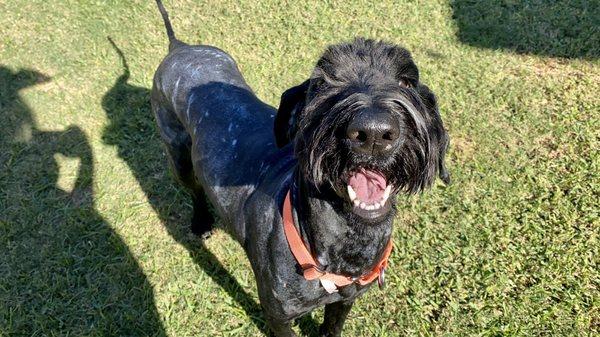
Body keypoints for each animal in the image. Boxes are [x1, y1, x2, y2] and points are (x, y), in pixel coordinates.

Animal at [151, 1, 450, 334]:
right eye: (323, 84)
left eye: (406, 81)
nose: (373, 132)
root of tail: (180, 47)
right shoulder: (278, 316)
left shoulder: (346, 300)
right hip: (178, 156)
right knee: (194, 189)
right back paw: (201, 222)